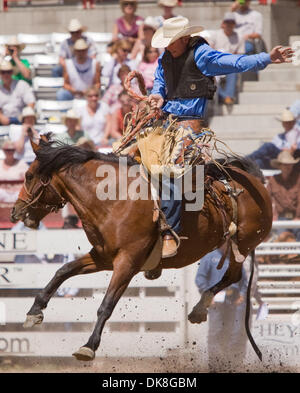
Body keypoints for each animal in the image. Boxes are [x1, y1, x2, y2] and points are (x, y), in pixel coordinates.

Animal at [10, 136, 274, 362]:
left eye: (29, 175)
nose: (16, 212)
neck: (115, 200)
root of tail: (254, 181)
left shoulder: (128, 262)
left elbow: (106, 305)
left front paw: (88, 346)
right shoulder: (102, 257)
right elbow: (63, 271)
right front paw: (34, 312)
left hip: (244, 243)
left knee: (233, 276)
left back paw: (199, 309)